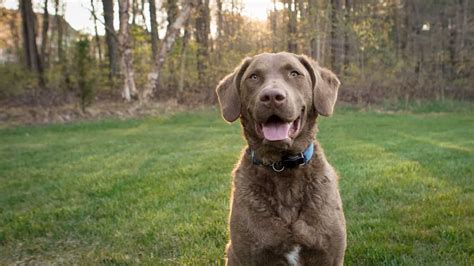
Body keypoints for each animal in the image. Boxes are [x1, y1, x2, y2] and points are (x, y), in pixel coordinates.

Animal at [217, 52, 346, 266]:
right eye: (253, 76)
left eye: (294, 73)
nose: (271, 97)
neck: (282, 167)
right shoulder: (248, 254)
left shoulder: (330, 255)